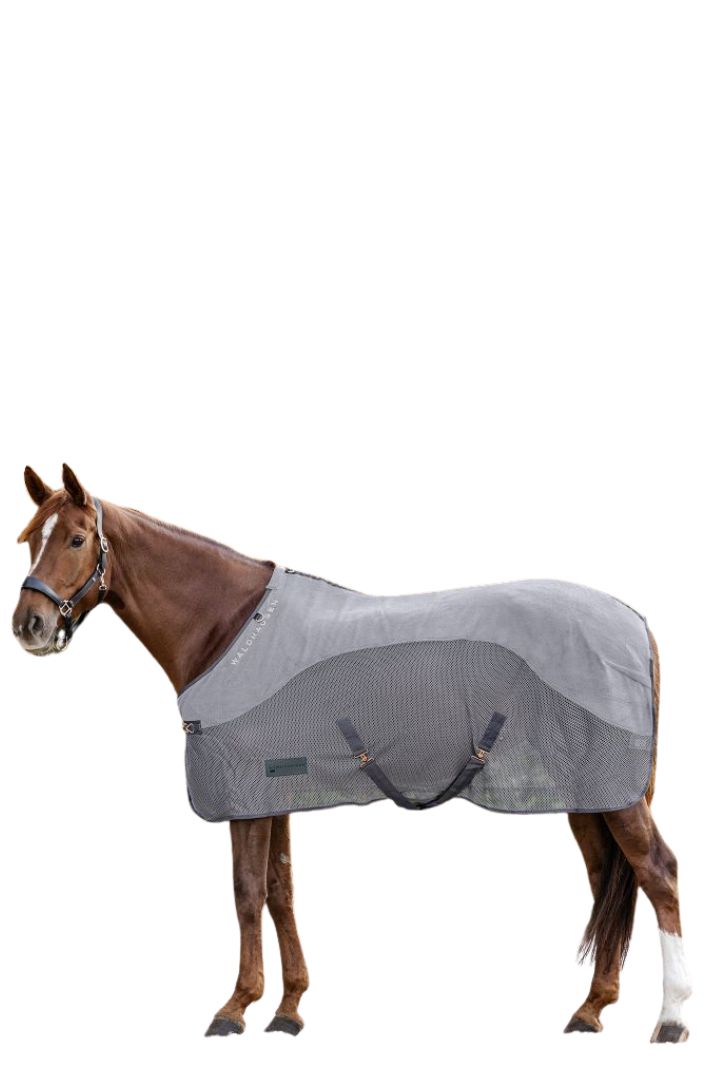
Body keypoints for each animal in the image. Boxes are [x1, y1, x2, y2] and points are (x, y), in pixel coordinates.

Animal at [11, 464, 692, 1042]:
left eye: (76, 539)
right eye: (27, 539)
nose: (29, 626)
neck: (227, 627)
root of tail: (633, 621)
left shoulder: (243, 795)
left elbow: (246, 892)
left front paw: (235, 1007)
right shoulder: (275, 790)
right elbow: (280, 889)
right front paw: (288, 1008)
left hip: (614, 794)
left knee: (657, 872)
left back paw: (672, 1018)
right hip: (587, 792)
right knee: (607, 879)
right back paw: (591, 1008)